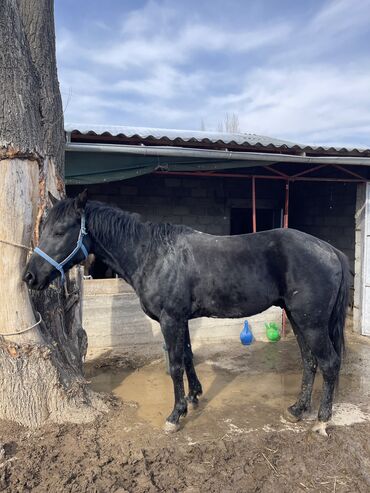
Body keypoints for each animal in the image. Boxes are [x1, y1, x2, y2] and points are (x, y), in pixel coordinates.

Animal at [24, 190, 348, 436]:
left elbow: (176, 365)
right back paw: (297, 409)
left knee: (329, 363)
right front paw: (194, 397)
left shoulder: (170, 320)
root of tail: (330, 251)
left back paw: (322, 421)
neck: (153, 254)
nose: (29, 277)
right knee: (310, 362)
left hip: (312, 323)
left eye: (60, 231)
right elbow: (189, 357)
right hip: (298, 319)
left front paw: (174, 416)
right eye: (45, 228)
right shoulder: (182, 320)